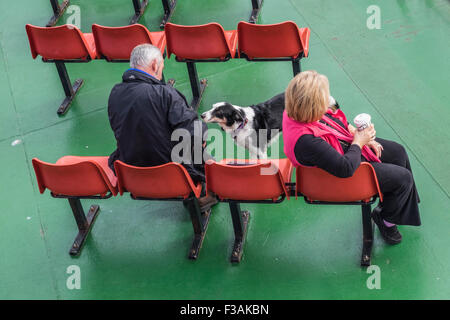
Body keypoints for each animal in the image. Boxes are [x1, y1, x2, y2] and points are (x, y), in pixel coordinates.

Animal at [202, 92, 340, 158]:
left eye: (219, 112)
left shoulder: (261, 151)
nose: (202, 115)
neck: (241, 124)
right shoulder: (252, 151)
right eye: (212, 107)